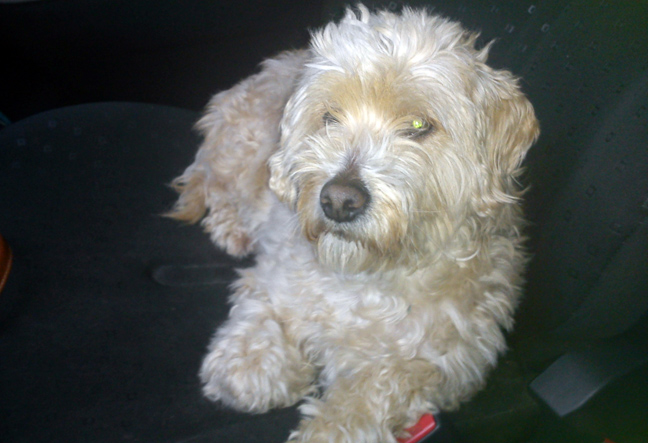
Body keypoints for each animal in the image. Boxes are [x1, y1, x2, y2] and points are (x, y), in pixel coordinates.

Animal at [168, 5, 539, 442]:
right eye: (330, 117)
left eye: (418, 125)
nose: (339, 201)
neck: (366, 277)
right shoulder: (273, 277)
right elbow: (261, 319)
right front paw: (251, 364)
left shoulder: (450, 361)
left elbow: (381, 383)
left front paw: (330, 426)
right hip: (239, 153)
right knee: (213, 186)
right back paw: (232, 228)